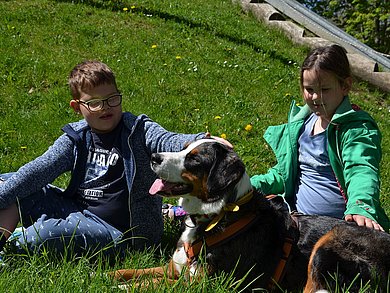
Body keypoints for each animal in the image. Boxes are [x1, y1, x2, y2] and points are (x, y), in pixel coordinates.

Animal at [110, 139, 390, 290]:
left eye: (194, 159)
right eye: (183, 148)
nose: (154, 156)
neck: (217, 215)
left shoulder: (199, 283)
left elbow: (146, 285)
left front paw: (120, 287)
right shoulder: (175, 268)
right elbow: (132, 272)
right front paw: (103, 273)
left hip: (331, 239)